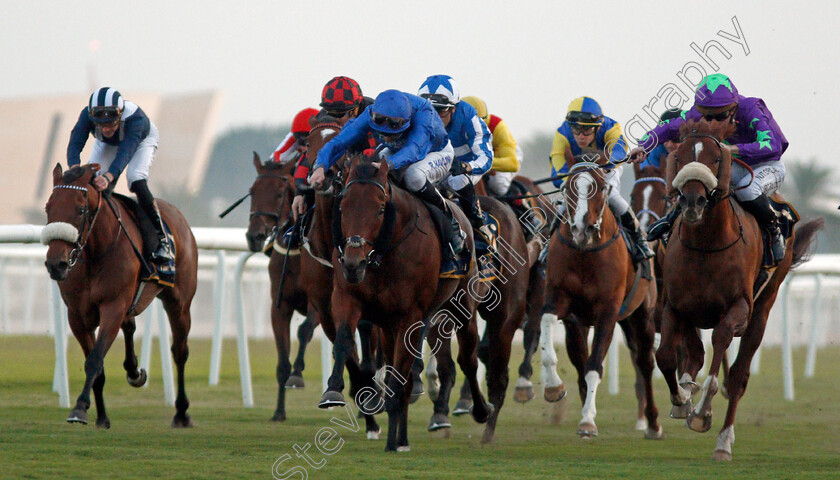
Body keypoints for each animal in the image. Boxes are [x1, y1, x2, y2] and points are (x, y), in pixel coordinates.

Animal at [44, 163, 199, 426]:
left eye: (80, 210)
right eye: (48, 208)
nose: (56, 264)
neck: (96, 253)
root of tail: (178, 216)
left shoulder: (113, 307)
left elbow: (94, 360)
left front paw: (80, 407)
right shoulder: (77, 316)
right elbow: (97, 366)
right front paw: (101, 416)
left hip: (179, 303)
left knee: (180, 351)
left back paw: (180, 412)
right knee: (130, 326)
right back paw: (134, 371)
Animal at [248, 153, 320, 420]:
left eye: (280, 194)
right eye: (252, 191)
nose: (255, 236)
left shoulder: (319, 304)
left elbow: (305, 331)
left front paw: (298, 375)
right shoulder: (279, 306)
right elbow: (282, 361)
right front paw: (279, 411)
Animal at [326, 155, 496, 454]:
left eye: (381, 209)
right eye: (343, 207)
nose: (353, 263)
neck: (384, 253)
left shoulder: (411, 316)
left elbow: (402, 376)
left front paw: (393, 438)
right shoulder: (348, 297)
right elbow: (344, 340)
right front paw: (333, 390)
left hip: (462, 307)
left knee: (467, 359)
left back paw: (480, 409)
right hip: (389, 325)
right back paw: (401, 437)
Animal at [540, 159, 664, 440]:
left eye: (599, 190)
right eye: (568, 189)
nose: (581, 229)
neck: (585, 254)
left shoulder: (608, 311)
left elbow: (595, 364)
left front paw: (587, 420)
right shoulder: (558, 299)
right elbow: (547, 328)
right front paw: (553, 387)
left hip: (642, 315)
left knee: (645, 362)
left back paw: (652, 423)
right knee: (579, 358)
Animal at [656, 121, 820, 462]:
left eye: (716, 158)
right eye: (679, 155)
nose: (692, 202)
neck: (707, 244)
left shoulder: (739, 309)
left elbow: (721, 351)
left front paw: (702, 413)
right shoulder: (675, 304)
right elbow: (665, 355)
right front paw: (681, 398)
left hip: (764, 307)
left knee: (739, 376)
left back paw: (723, 442)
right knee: (695, 352)